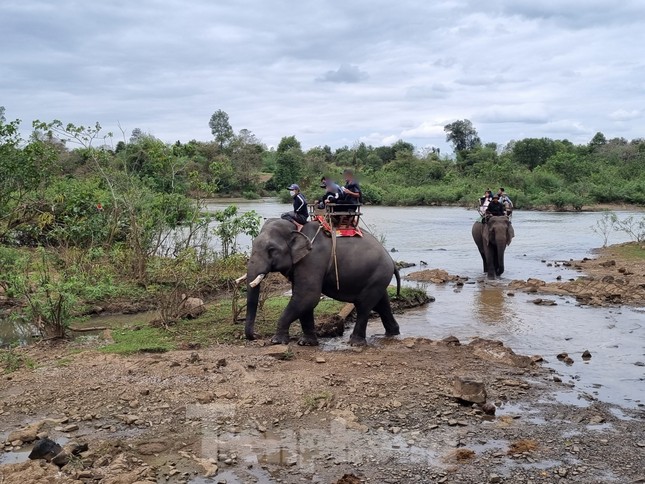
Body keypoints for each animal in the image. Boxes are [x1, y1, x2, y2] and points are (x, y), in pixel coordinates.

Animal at [243, 217, 400, 346]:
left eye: (271, 250)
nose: (256, 335)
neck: (297, 228)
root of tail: (391, 260)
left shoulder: (312, 259)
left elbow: (308, 296)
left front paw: (277, 341)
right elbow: (303, 300)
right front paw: (306, 343)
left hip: (379, 273)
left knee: (364, 305)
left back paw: (355, 343)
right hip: (378, 278)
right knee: (381, 303)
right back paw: (393, 333)